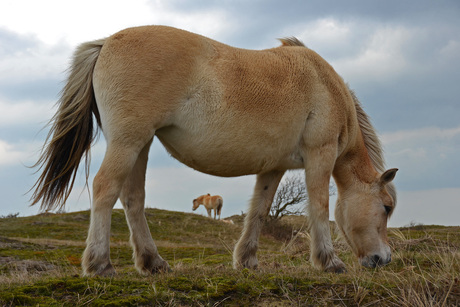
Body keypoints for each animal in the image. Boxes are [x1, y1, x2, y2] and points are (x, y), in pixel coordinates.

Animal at [31, 25, 398, 276]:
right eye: (386, 207)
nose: (383, 259)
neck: (325, 84)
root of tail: (106, 42)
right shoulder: (319, 155)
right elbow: (319, 207)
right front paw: (329, 261)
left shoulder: (273, 167)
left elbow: (259, 210)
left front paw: (247, 259)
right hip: (127, 143)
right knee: (105, 189)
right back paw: (100, 264)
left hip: (140, 145)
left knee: (132, 198)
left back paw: (153, 262)